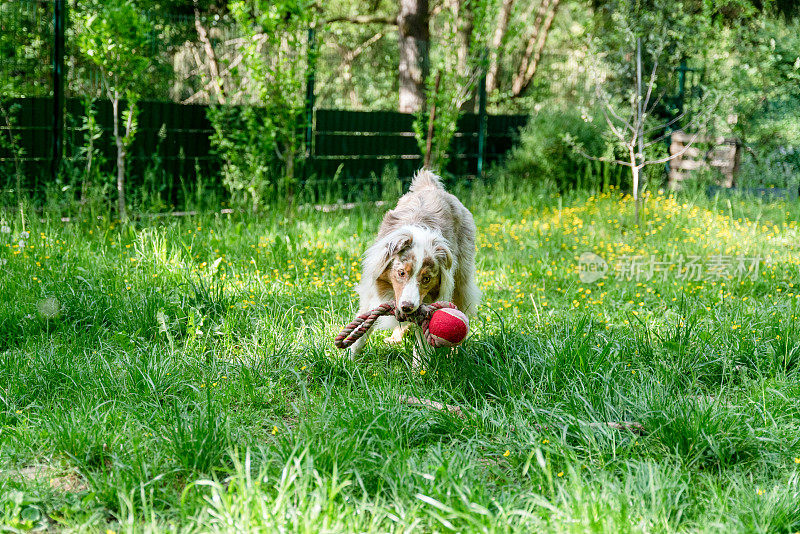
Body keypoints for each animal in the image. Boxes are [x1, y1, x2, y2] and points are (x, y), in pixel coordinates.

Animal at [346, 170, 478, 366]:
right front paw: (346, 361)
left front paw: (419, 371)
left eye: (427, 279)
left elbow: (423, 340)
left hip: (462, 274)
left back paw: (455, 352)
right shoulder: (372, 290)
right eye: (401, 273)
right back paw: (394, 338)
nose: (407, 307)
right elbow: (362, 329)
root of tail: (431, 186)